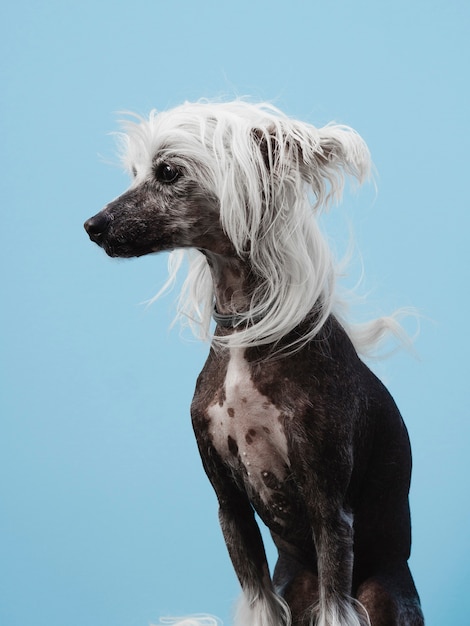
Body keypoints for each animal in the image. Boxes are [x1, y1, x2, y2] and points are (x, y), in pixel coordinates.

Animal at [85, 101, 426, 624]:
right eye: (135, 173)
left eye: (168, 171)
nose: (92, 225)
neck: (245, 330)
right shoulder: (231, 510)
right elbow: (257, 597)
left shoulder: (330, 511)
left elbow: (335, 600)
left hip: (379, 593)